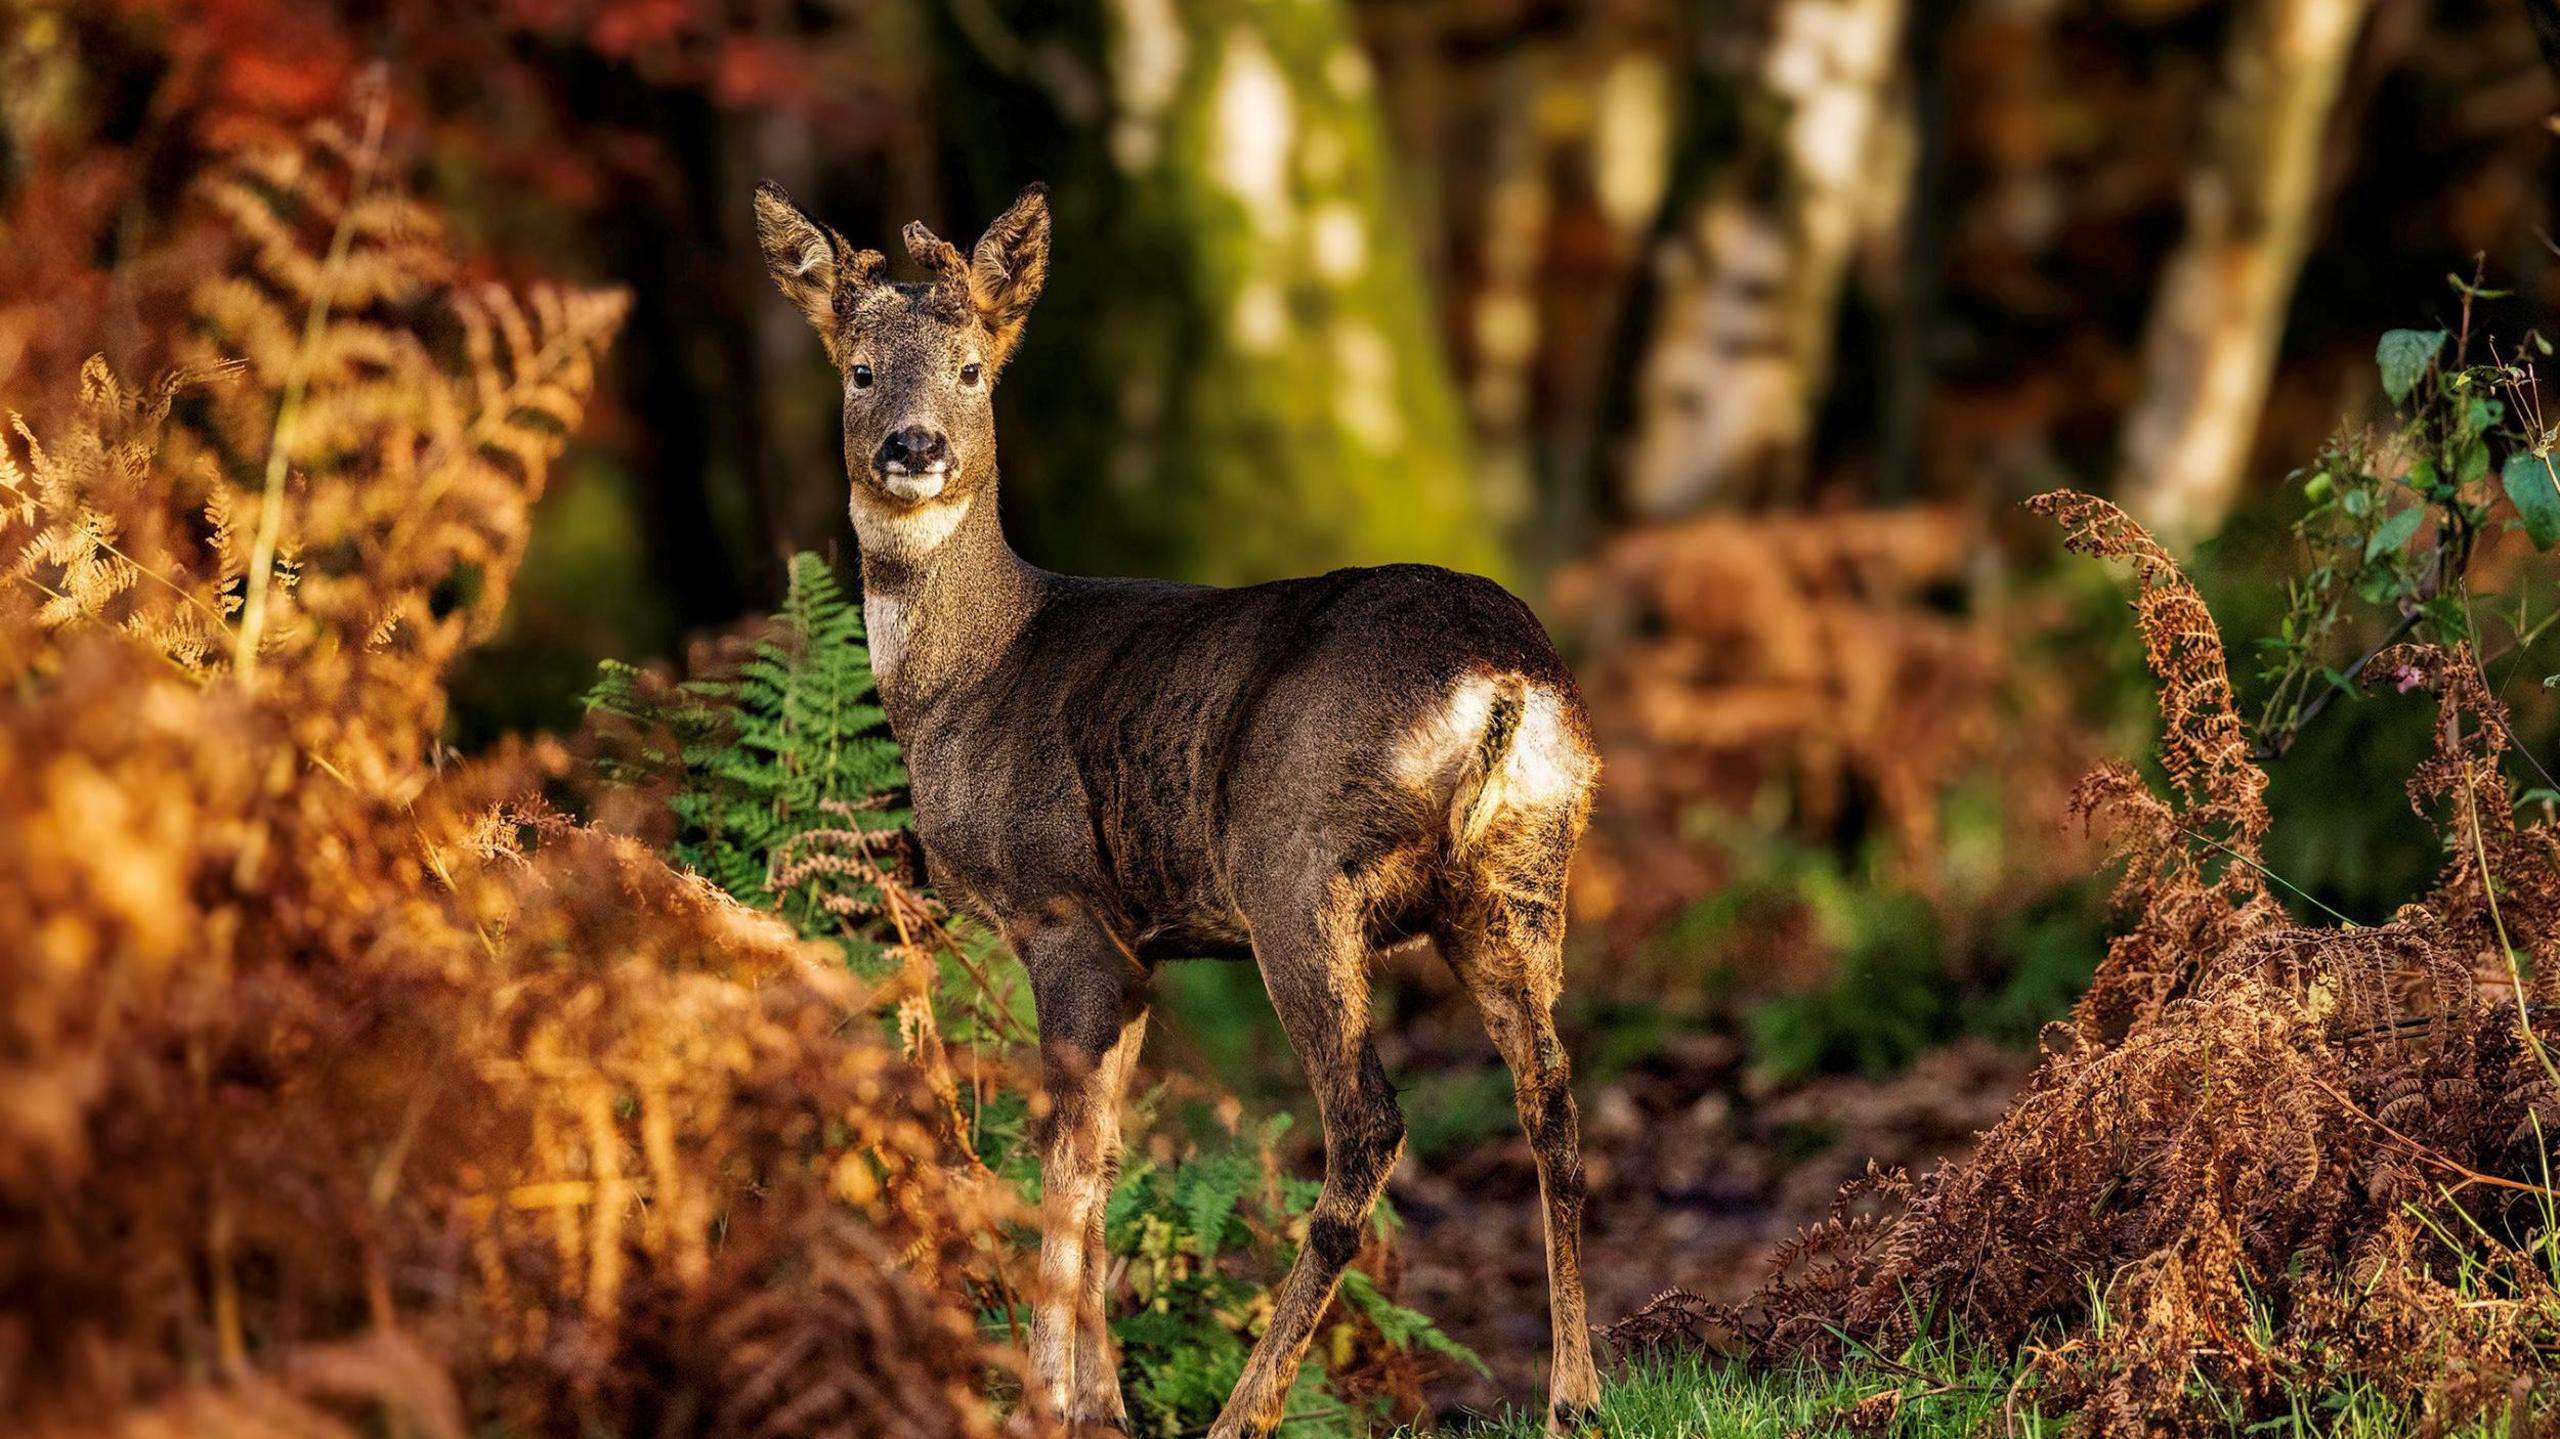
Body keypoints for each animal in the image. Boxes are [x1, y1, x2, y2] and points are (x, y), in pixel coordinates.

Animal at [752, 179, 1602, 1439]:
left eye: (970, 368)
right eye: (858, 369)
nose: (914, 447)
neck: (969, 678)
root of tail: (1504, 682)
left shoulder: (1060, 906)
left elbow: (1060, 1160)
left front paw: (1046, 1400)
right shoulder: (1138, 943)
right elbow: (1107, 1155)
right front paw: (1100, 1402)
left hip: (1298, 872)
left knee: (1366, 1122)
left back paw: (1245, 1410)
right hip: (1518, 876)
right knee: (1552, 1099)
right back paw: (1572, 1394)